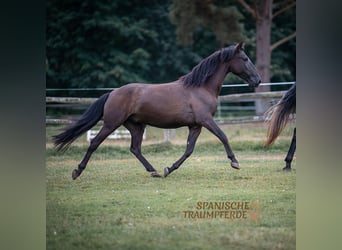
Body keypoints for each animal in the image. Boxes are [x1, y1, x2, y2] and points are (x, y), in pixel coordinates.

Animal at [54, 42, 262, 179]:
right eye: (244, 58)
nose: (258, 80)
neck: (200, 88)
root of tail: (112, 93)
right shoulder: (206, 121)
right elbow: (223, 136)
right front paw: (235, 162)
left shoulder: (195, 126)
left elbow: (189, 150)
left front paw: (169, 169)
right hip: (111, 124)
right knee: (95, 143)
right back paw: (77, 171)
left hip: (136, 126)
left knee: (135, 148)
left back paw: (153, 171)